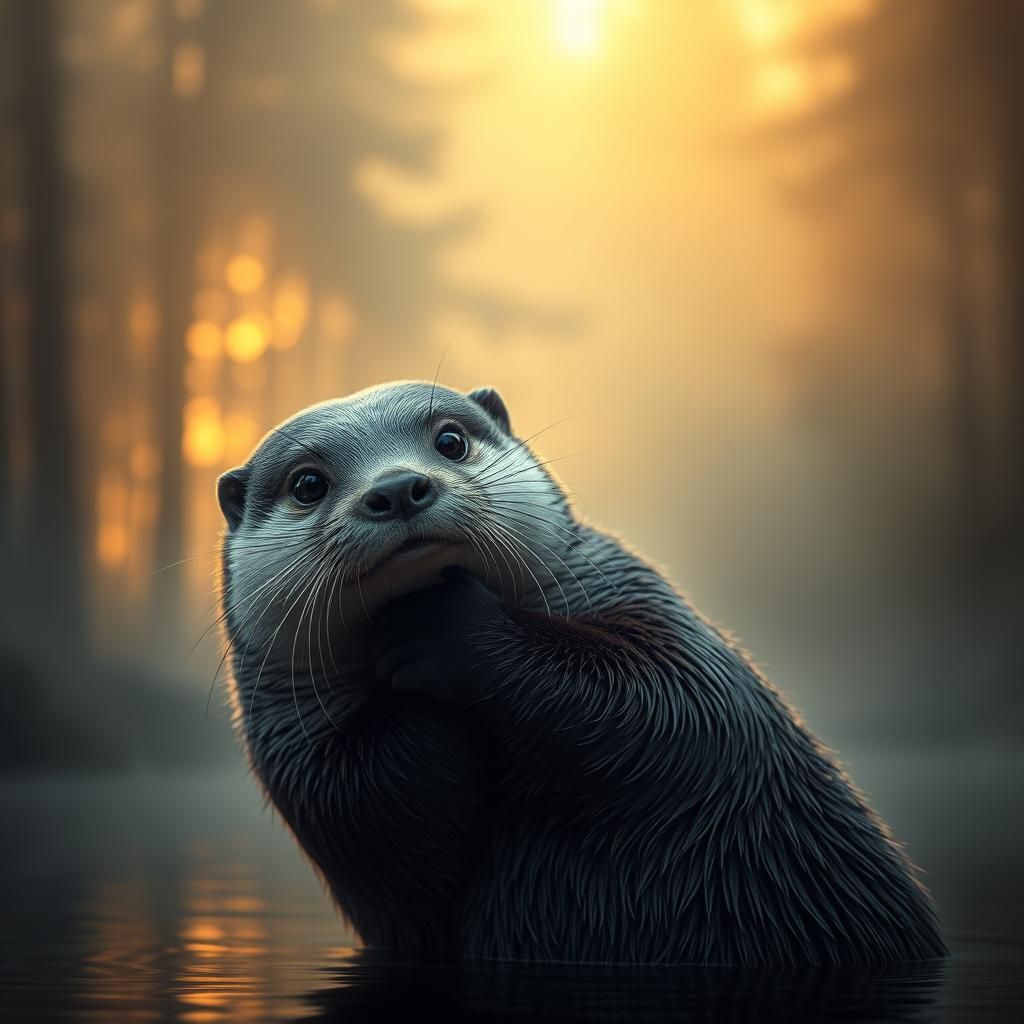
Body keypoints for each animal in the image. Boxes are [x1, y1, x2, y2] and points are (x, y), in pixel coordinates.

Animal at [216, 380, 946, 965]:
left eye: (449, 439)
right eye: (308, 483)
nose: (397, 488)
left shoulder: (654, 618)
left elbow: (663, 703)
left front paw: (444, 628)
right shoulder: (299, 759)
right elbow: (366, 806)